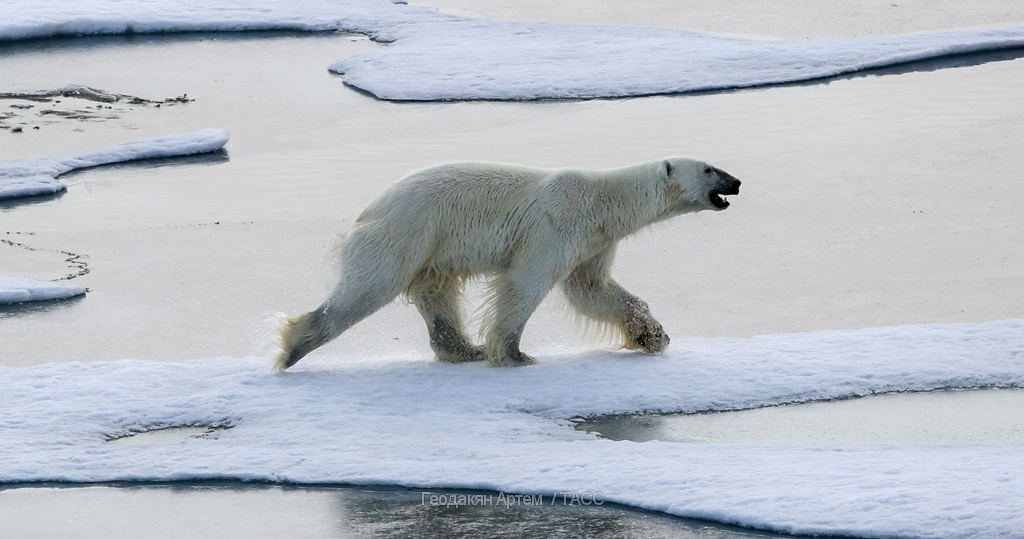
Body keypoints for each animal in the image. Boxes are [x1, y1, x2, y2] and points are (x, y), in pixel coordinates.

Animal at [272, 158, 741, 375]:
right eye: (709, 168)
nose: (736, 181)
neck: (600, 200)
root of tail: (366, 212)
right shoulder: (557, 224)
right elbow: (525, 284)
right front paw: (515, 355)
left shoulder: (595, 241)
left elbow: (592, 290)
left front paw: (653, 335)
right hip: (406, 234)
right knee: (367, 288)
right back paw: (294, 345)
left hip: (430, 252)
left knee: (437, 295)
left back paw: (465, 350)